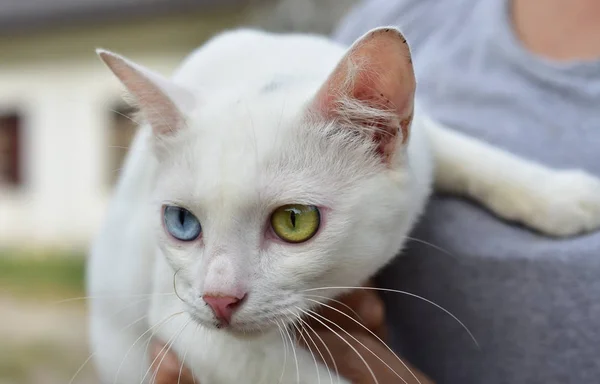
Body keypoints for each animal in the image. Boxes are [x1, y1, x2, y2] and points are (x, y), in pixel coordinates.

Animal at [86, 27, 600, 384]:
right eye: (182, 222)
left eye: (294, 221)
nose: (219, 298)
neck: (264, 71)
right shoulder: (180, 317)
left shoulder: (422, 141)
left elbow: (464, 150)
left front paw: (563, 195)